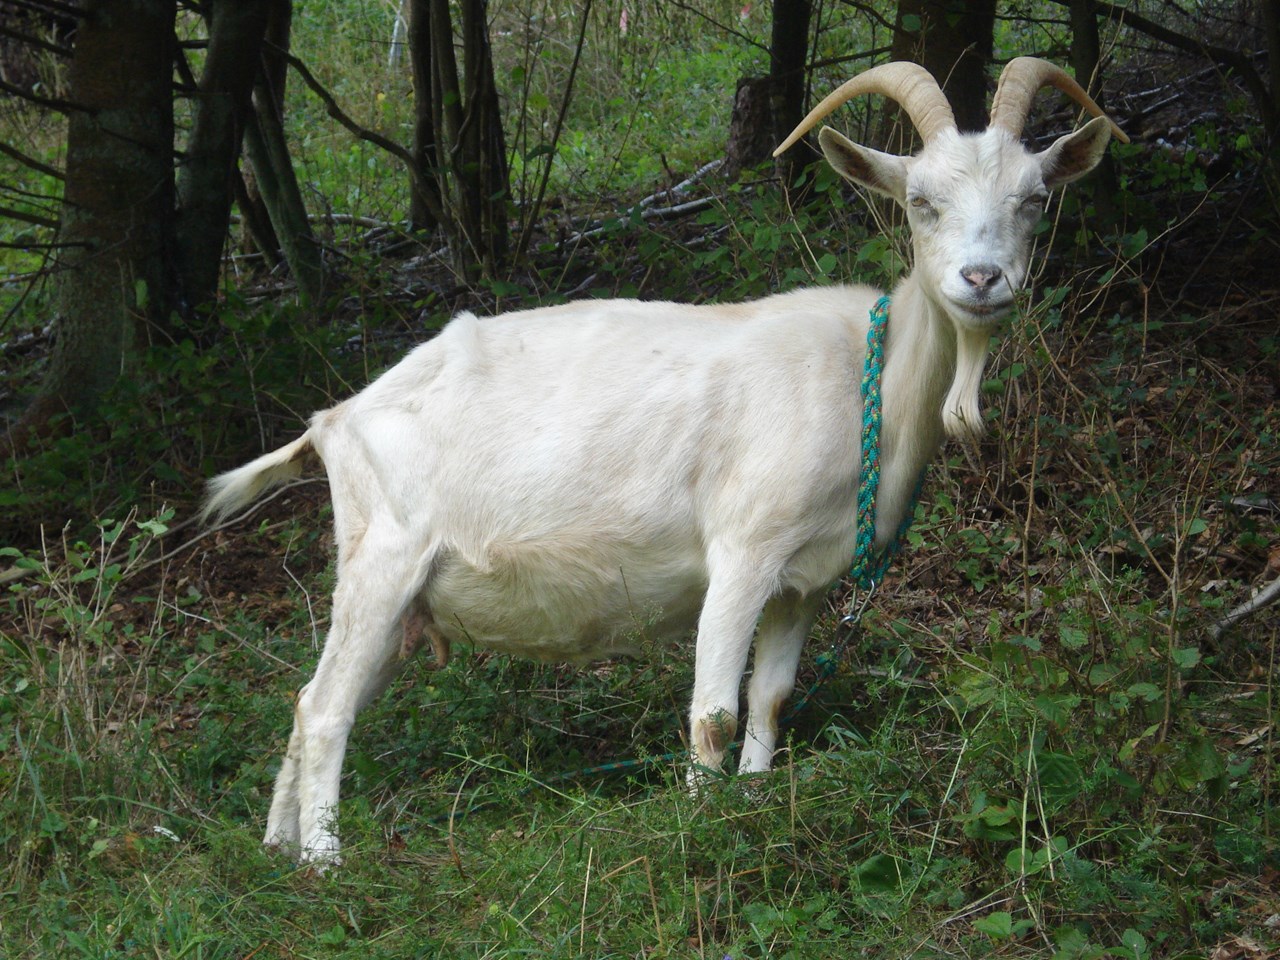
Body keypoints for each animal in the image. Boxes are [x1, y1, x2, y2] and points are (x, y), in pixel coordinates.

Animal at [203, 57, 1126, 864]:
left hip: (400, 597)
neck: (870, 382)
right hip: (385, 558)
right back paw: (326, 863)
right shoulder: (744, 553)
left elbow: (769, 699)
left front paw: (756, 806)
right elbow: (712, 714)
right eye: (920, 202)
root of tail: (335, 420)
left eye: (1035, 201)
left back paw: (278, 851)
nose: (983, 279)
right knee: (327, 710)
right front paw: (701, 832)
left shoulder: (803, 583)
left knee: (307, 704)